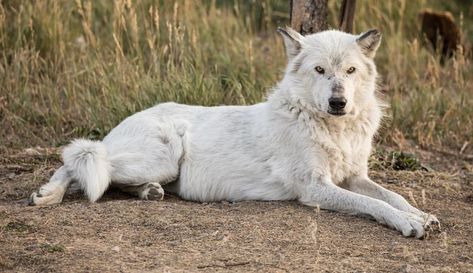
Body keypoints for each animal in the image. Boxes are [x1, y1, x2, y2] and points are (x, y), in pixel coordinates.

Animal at [30, 26, 438, 237]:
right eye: (320, 70)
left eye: (350, 71)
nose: (338, 102)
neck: (334, 127)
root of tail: (130, 119)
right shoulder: (315, 188)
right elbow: (375, 205)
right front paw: (408, 223)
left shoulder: (354, 176)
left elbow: (392, 195)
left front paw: (421, 215)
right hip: (161, 158)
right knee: (78, 159)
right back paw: (47, 196)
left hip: (159, 168)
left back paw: (148, 192)